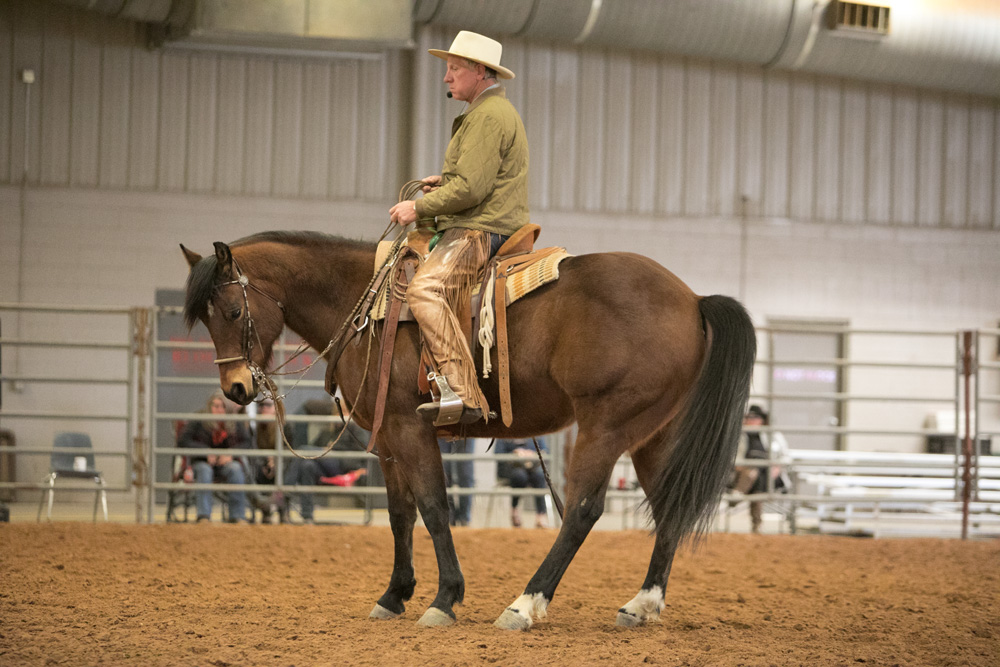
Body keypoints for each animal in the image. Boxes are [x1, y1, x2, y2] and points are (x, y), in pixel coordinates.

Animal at [182, 234, 756, 632]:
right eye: (206, 320)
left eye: (232, 311)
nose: (235, 388)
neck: (369, 308)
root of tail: (692, 299)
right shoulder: (386, 441)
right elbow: (400, 514)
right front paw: (394, 595)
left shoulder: (410, 428)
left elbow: (435, 507)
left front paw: (444, 598)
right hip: (654, 437)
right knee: (668, 509)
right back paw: (642, 604)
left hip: (607, 427)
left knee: (583, 511)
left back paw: (525, 605)